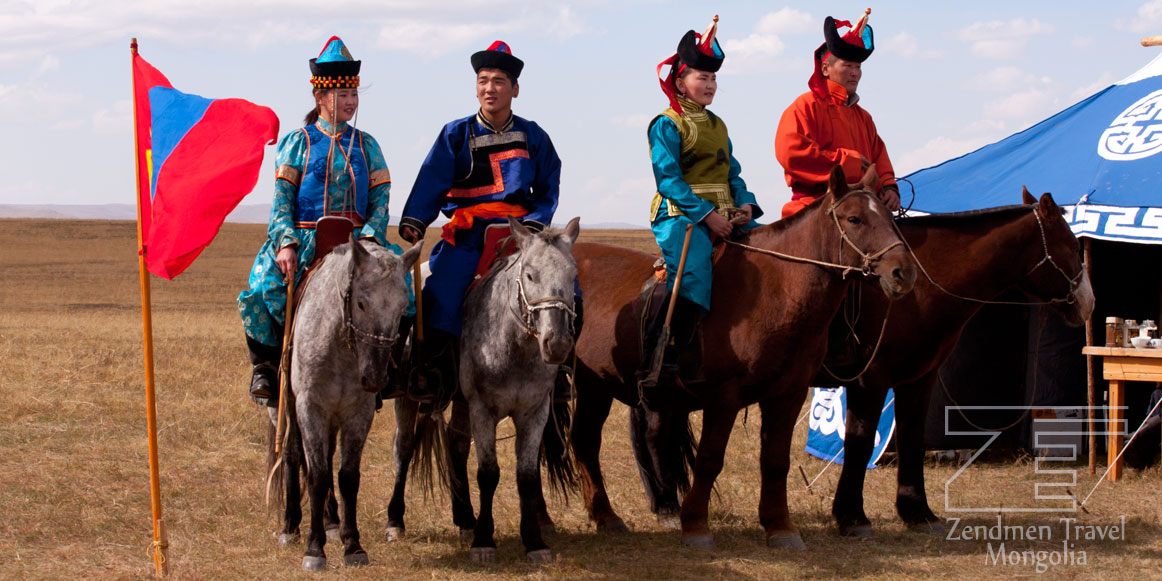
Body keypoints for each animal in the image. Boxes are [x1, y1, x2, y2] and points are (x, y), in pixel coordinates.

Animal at [276, 235, 422, 571]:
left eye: (402, 308)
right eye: (361, 303)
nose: (375, 378)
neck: (340, 348)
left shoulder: (358, 413)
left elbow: (347, 476)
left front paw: (352, 545)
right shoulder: (310, 407)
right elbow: (316, 475)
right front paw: (314, 549)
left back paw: (331, 522)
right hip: (290, 406)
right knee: (292, 454)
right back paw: (291, 525)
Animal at [457, 214, 576, 562]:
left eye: (573, 274)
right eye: (530, 274)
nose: (557, 343)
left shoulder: (535, 412)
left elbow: (526, 476)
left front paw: (534, 541)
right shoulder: (482, 410)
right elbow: (488, 473)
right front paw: (483, 540)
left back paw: (464, 518)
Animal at [569, 166, 915, 550]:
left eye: (889, 216)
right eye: (854, 219)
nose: (902, 272)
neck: (773, 290)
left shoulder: (788, 395)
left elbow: (775, 460)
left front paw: (780, 526)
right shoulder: (724, 396)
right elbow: (709, 458)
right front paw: (696, 525)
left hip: (597, 386)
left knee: (587, 441)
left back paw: (607, 516)